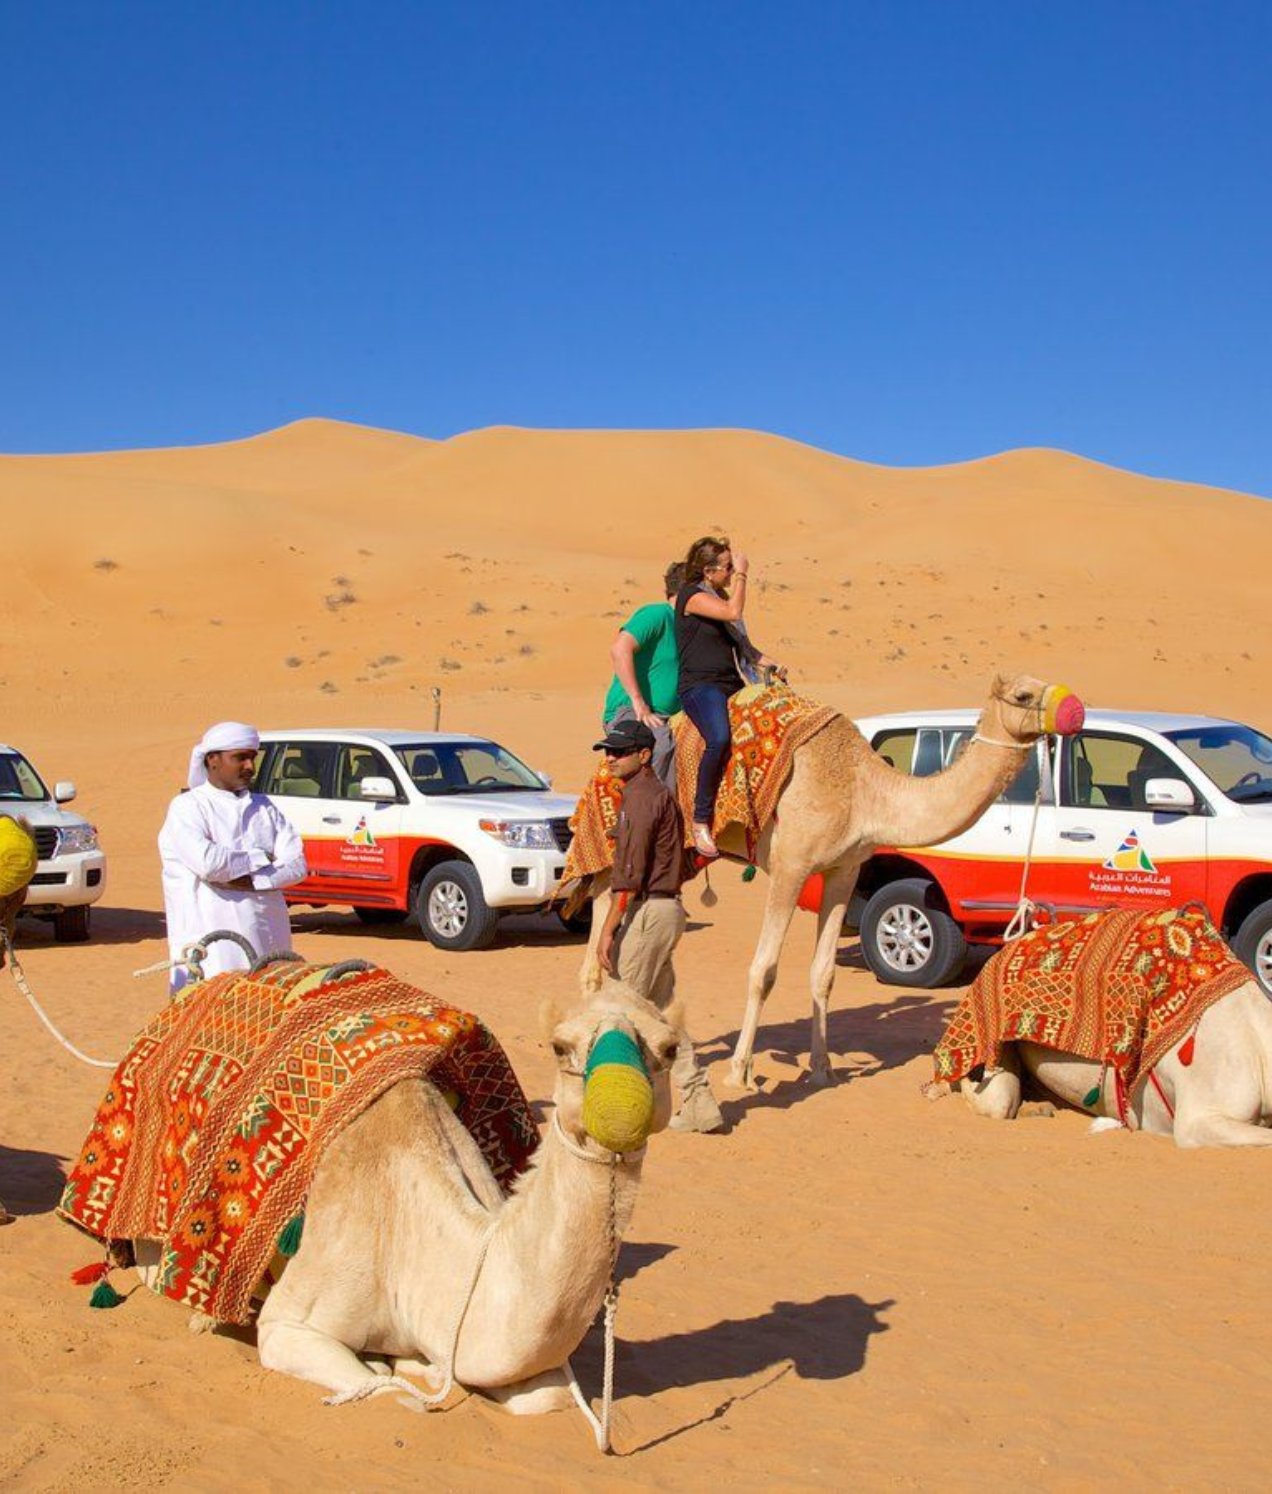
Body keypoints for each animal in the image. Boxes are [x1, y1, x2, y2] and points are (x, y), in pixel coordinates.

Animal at [128, 986, 680, 1414]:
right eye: (560, 1047)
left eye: (671, 1048)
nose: (620, 1107)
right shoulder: (291, 1323)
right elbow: (382, 1391)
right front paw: (396, 1366)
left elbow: (549, 1397)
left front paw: (418, 1362)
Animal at [580, 674, 1082, 1090]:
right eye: (1023, 694)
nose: (1074, 709)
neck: (866, 793)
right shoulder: (790, 865)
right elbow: (763, 971)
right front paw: (740, 1073)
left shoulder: (844, 871)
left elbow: (823, 973)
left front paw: (822, 1069)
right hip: (613, 845)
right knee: (601, 923)